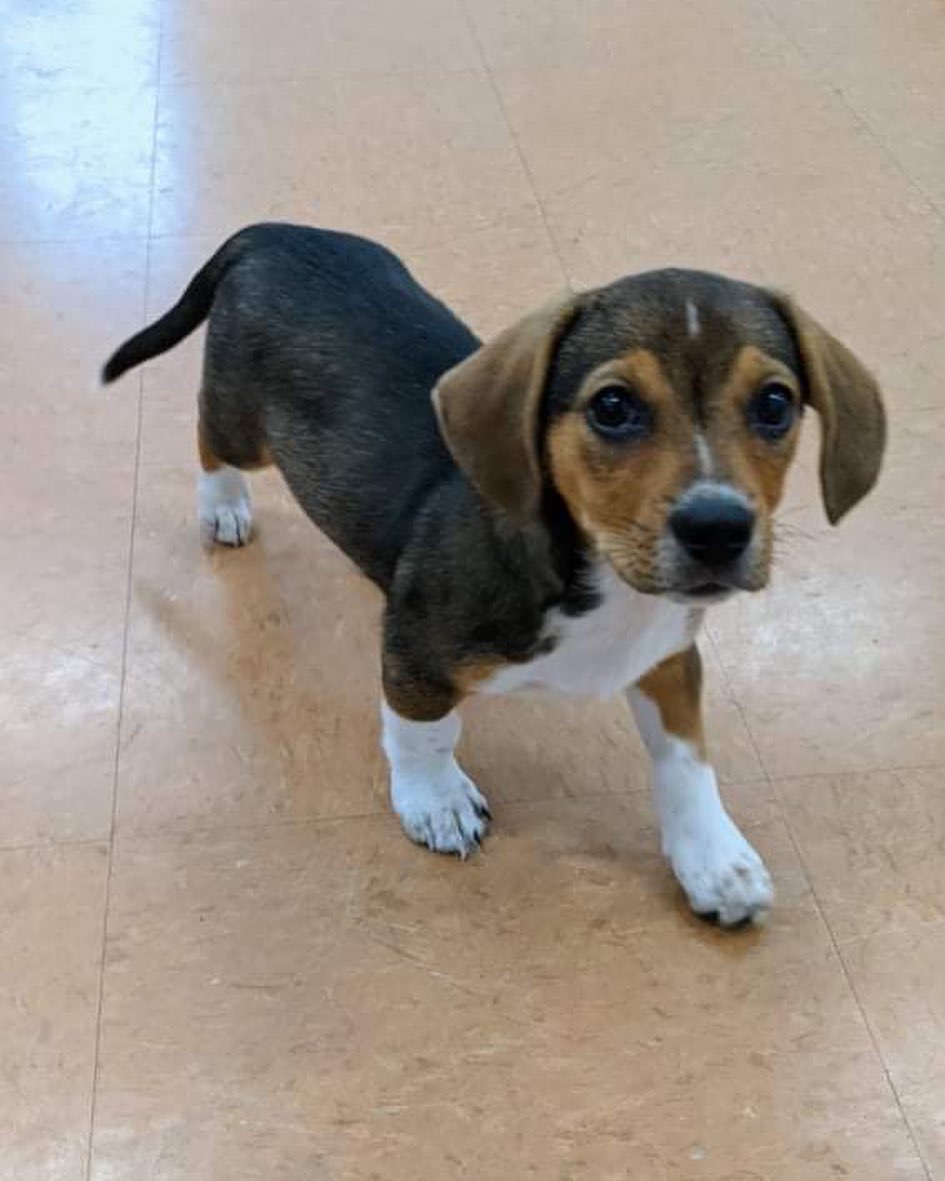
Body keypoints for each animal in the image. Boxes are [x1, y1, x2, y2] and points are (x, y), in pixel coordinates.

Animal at [105, 225, 888, 930]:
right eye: (612, 406)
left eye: (774, 404)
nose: (718, 528)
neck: (603, 584)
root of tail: (268, 233)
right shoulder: (415, 656)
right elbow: (424, 733)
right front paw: (437, 801)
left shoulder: (668, 659)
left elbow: (687, 761)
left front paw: (714, 859)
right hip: (244, 425)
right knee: (207, 436)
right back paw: (223, 506)